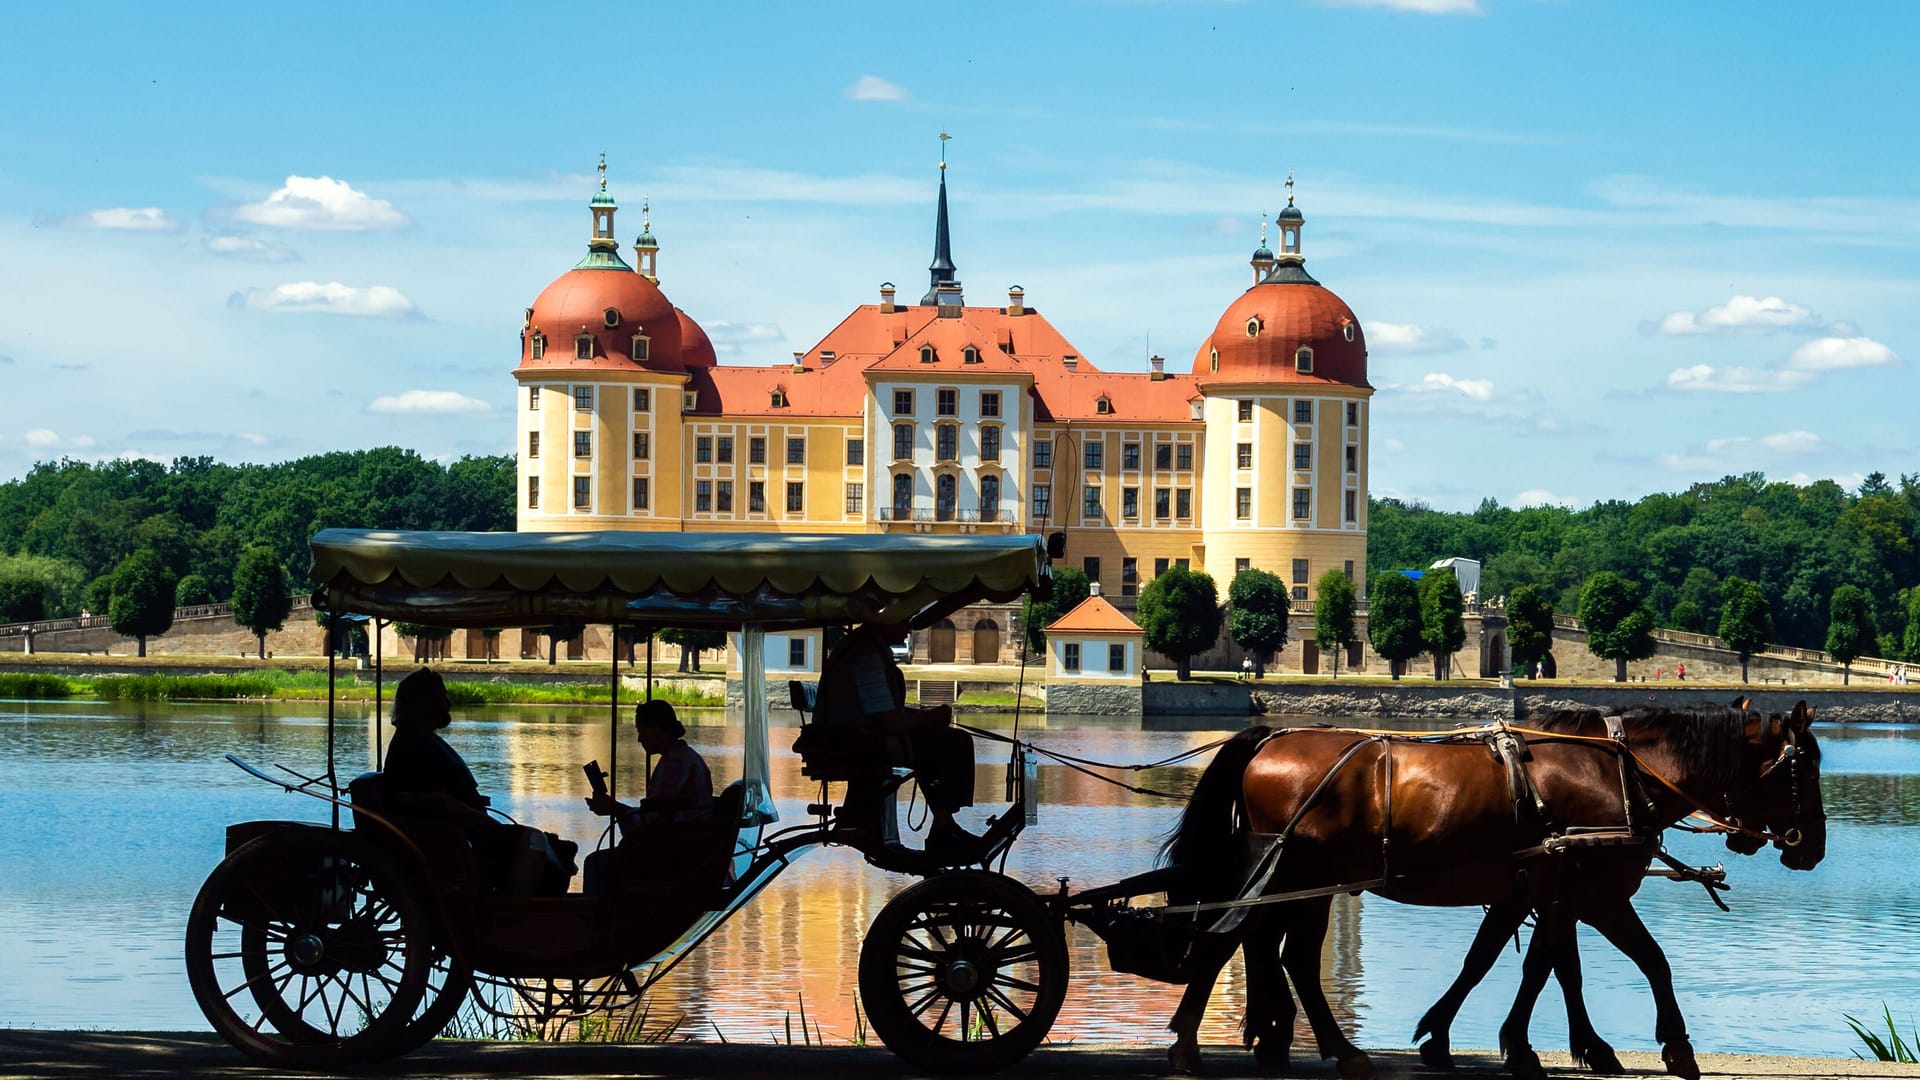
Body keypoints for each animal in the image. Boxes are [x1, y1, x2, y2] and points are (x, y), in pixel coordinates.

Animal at [1159, 703, 1820, 1068]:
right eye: (1806, 765)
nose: (1813, 847)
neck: (1618, 772)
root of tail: (1270, 738)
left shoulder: (1537, 892)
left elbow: (1520, 964)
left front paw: (1456, 1035)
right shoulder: (1595, 895)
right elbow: (1640, 960)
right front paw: (1670, 1045)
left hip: (1285, 882)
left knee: (1244, 944)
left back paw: (1249, 1036)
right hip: (1307, 881)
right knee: (1276, 952)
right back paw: (1329, 1049)